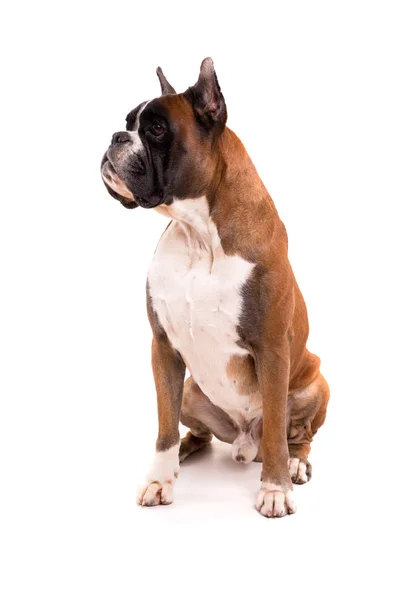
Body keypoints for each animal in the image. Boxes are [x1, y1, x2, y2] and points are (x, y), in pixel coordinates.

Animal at [99, 58, 328, 516]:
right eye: (128, 123)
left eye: (156, 129)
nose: (115, 137)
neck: (198, 233)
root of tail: (243, 441)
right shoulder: (163, 347)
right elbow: (164, 424)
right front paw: (159, 479)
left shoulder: (272, 349)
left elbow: (277, 431)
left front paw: (275, 489)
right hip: (192, 389)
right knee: (197, 433)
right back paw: (184, 454)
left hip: (316, 383)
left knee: (296, 436)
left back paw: (295, 464)